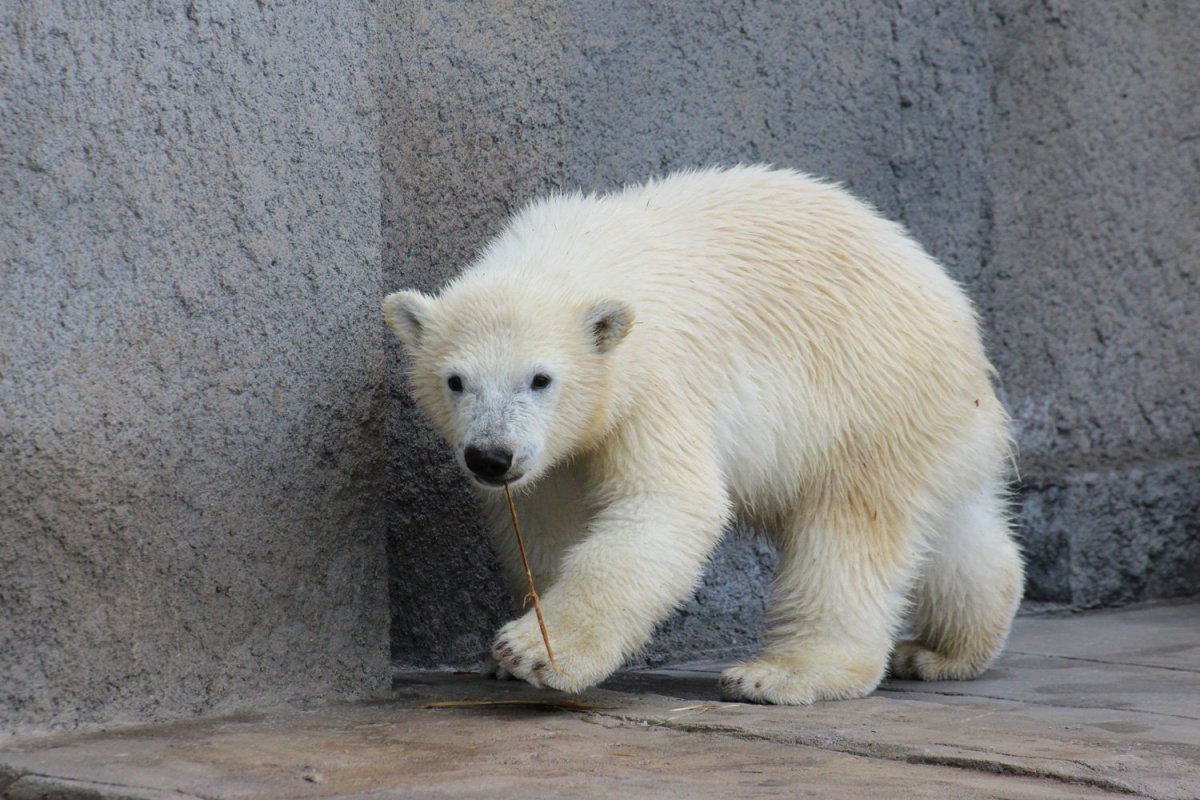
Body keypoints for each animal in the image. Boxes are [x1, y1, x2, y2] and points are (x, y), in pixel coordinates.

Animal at [383, 165, 1024, 705]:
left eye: (540, 378)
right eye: (456, 380)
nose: (491, 457)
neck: (573, 256)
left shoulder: (655, 385)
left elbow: (666, 505)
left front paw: (537, 651)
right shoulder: (562, 450)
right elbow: (547, 521)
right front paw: (507, 656)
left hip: (868, 399)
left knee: (846, 532)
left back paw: (783, 674)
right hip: (924, 423)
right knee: (955, 533)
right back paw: (944, 651)